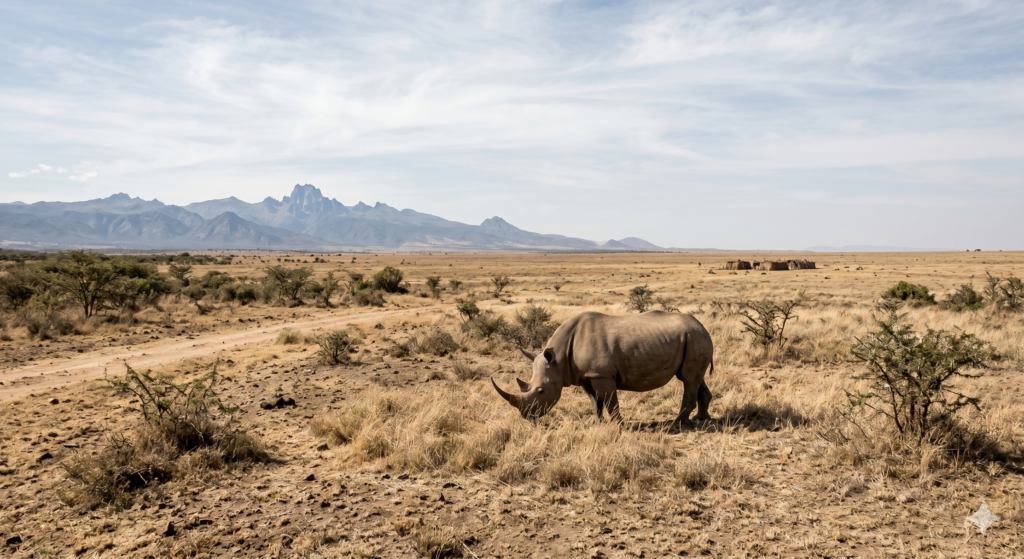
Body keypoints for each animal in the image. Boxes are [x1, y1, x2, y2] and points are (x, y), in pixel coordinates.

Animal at [492, 311, 714, 428]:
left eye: (540, 391)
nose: (526, 415)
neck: (559, 359)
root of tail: (703, 327)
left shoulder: (602, 374)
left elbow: (610, 401)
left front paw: (618, 425)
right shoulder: (586, 376)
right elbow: (595, 402)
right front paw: (595, 423)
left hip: (695, 337)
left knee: (689, 379)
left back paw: (676, 424)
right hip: (693, 338)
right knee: (694, 378)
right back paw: (701, 419)